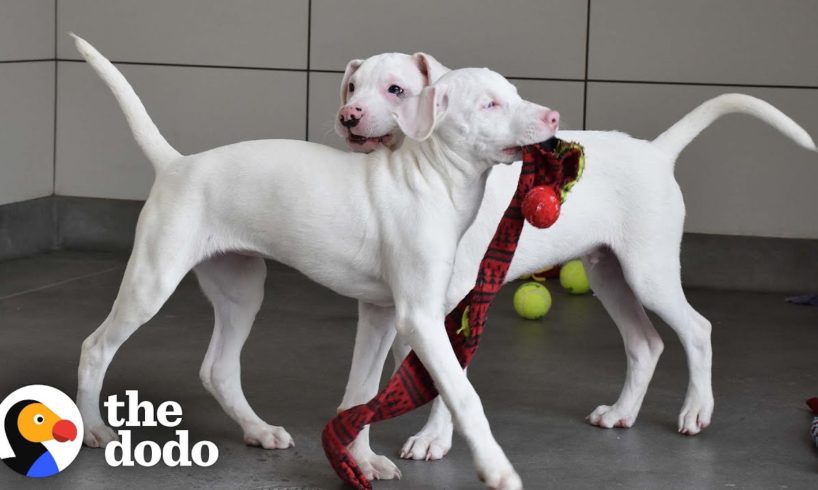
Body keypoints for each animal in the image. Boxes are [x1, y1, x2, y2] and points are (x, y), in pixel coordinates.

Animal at [71, 35, 560, 490]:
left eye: (515, 94)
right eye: (490, 104)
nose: (554, 118)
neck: (429, 176)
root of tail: (177, 164)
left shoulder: (382, 313)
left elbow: (362, 392)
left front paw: (361, 461)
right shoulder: (419, 318)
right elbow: (462, 394)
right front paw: (497, 469)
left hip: (241, 289)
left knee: (219, 369)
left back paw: (258, 430)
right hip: (152, 280)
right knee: (96, 347)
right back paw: (94, 427)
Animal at [332, 53, 816, 464]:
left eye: (396, 89)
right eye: (352, 86)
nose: (348, 116)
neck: (426, 170)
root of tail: (655, 151)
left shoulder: (459, 301)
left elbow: (451, 376)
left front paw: (435, 438)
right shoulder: (404, 306)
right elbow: (413, 371)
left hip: (648, 273)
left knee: (697, 329)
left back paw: (696, 410)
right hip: (609, 275)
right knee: (645, 343)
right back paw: (621, 412)